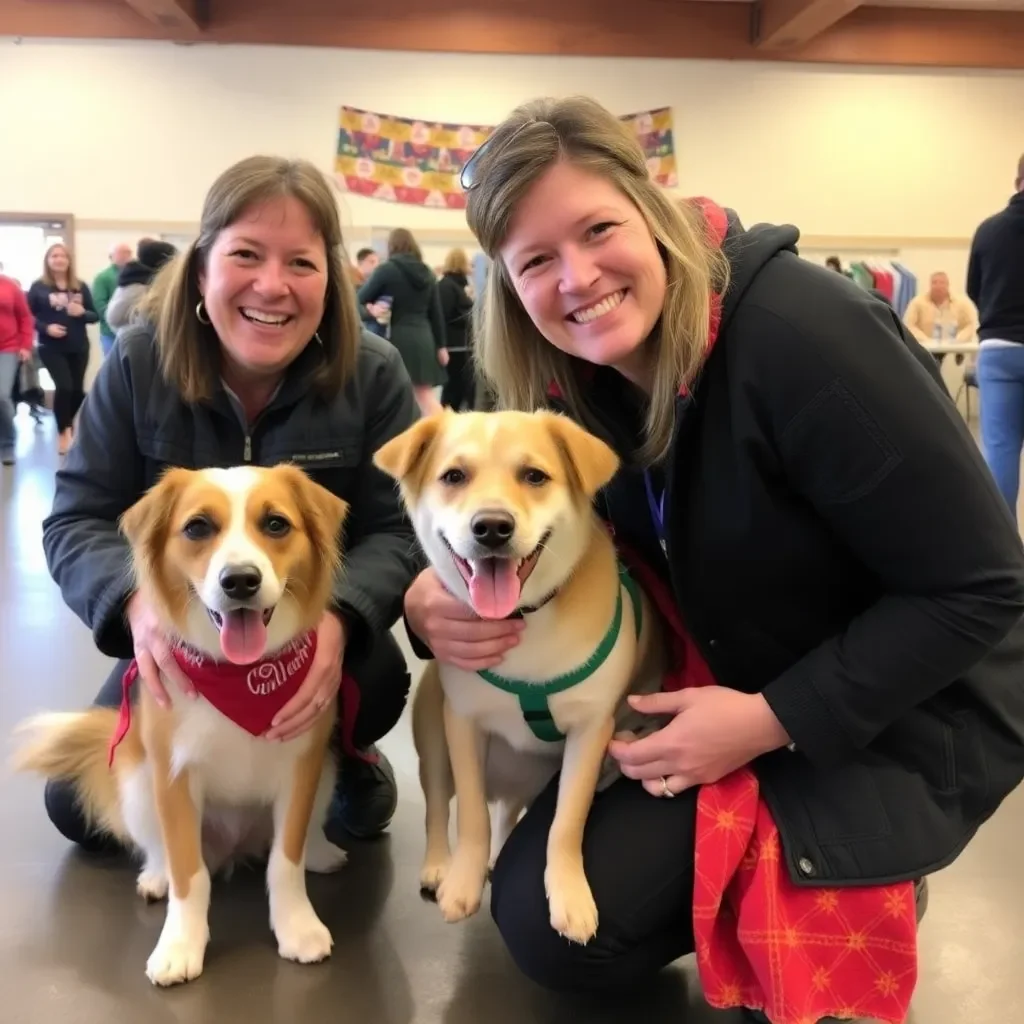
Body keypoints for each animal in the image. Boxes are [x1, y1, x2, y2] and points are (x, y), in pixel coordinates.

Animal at [11, 464, 352, 983]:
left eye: (275, 524)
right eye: (197, 528)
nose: (240, 581)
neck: (239, 676)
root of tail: (234, 847)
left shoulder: (301, 768)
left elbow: (284, 861)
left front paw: (296, 925)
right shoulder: (172, 777)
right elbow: (189, 875)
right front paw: (180, 945)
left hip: (328, 770)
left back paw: (320, 851)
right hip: (135, 780)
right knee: (160, 851)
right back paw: (155, 876)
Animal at [372, 405, 667, 942]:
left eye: (535, 476)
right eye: (454, 476)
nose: (492, 526)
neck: (523, 620)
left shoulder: (592, 732)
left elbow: (566, 823)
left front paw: (569, 894)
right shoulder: (463, 724)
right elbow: (470, 815)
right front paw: (463, 882)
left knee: (510, 810)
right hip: (432, 740)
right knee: (438, 805)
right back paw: (438, 866)